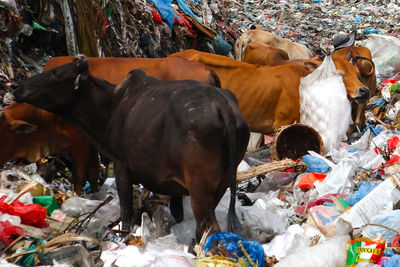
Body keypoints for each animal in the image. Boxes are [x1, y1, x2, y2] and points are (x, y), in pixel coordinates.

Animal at [13, 55, 250, 243]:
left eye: (56, 73)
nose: (18, 88)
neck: (113, 105)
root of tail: (222, 106)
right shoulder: (175, 186)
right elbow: (177, 213)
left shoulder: (122, 165)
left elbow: (126, 209)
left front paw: (123, 236)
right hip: (220, 185)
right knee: (204, 229)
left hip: (200, 188)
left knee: (210, 228)